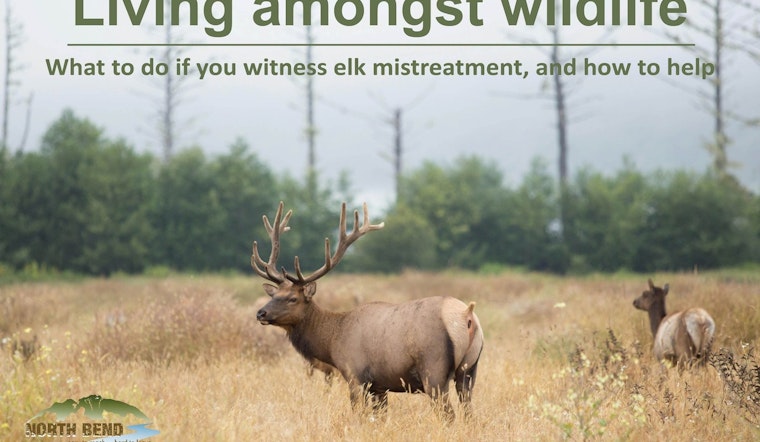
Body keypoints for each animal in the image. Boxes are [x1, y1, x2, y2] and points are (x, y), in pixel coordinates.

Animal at [252, 202, 484, 420]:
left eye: (292, 299)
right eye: (273, 295)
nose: (260, 313)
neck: (332, 341)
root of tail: (467, 315)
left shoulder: (355, 375)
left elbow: (359, 414)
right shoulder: (379, 386)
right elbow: (380, 417)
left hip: (434, 370)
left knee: (449, 414)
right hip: (469, 370)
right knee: (469, 413)